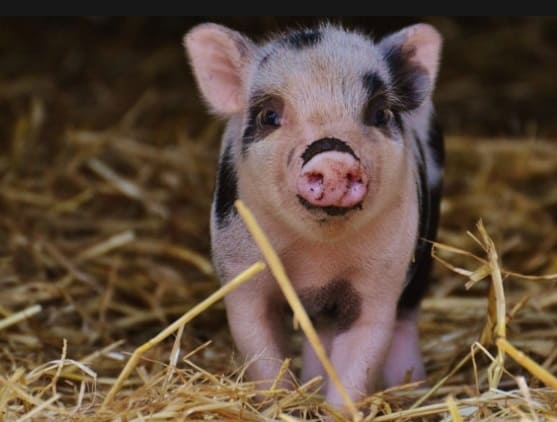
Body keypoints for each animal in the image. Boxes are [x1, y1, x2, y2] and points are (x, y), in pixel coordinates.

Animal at [185, 21, 446, 408]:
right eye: (269, 116)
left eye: (380, 114)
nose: (333, 158)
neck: (317, 258)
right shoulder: (242, 273)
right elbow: (261, 352)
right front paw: (281, 405)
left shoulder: (380, 281)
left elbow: (360, 357)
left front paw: (334, 409)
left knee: (405, 318)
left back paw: (412, 388)